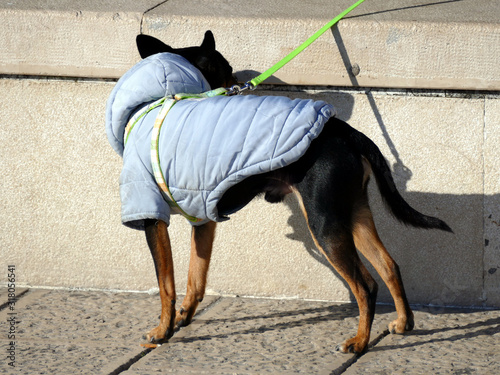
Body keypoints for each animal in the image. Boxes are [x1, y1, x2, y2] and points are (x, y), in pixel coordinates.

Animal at [106, 30, 454, 356]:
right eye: (227, 71)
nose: (239, 85)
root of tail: (346, 131)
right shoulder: (203, 218)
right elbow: (195, 278)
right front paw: (183, 318)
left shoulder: (151, 217)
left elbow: (166, 284)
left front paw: (162, 331)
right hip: (352, 213)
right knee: (389, 265)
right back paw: (403, 322)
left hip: (324, 224)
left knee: (366, 285)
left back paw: (359, 342)